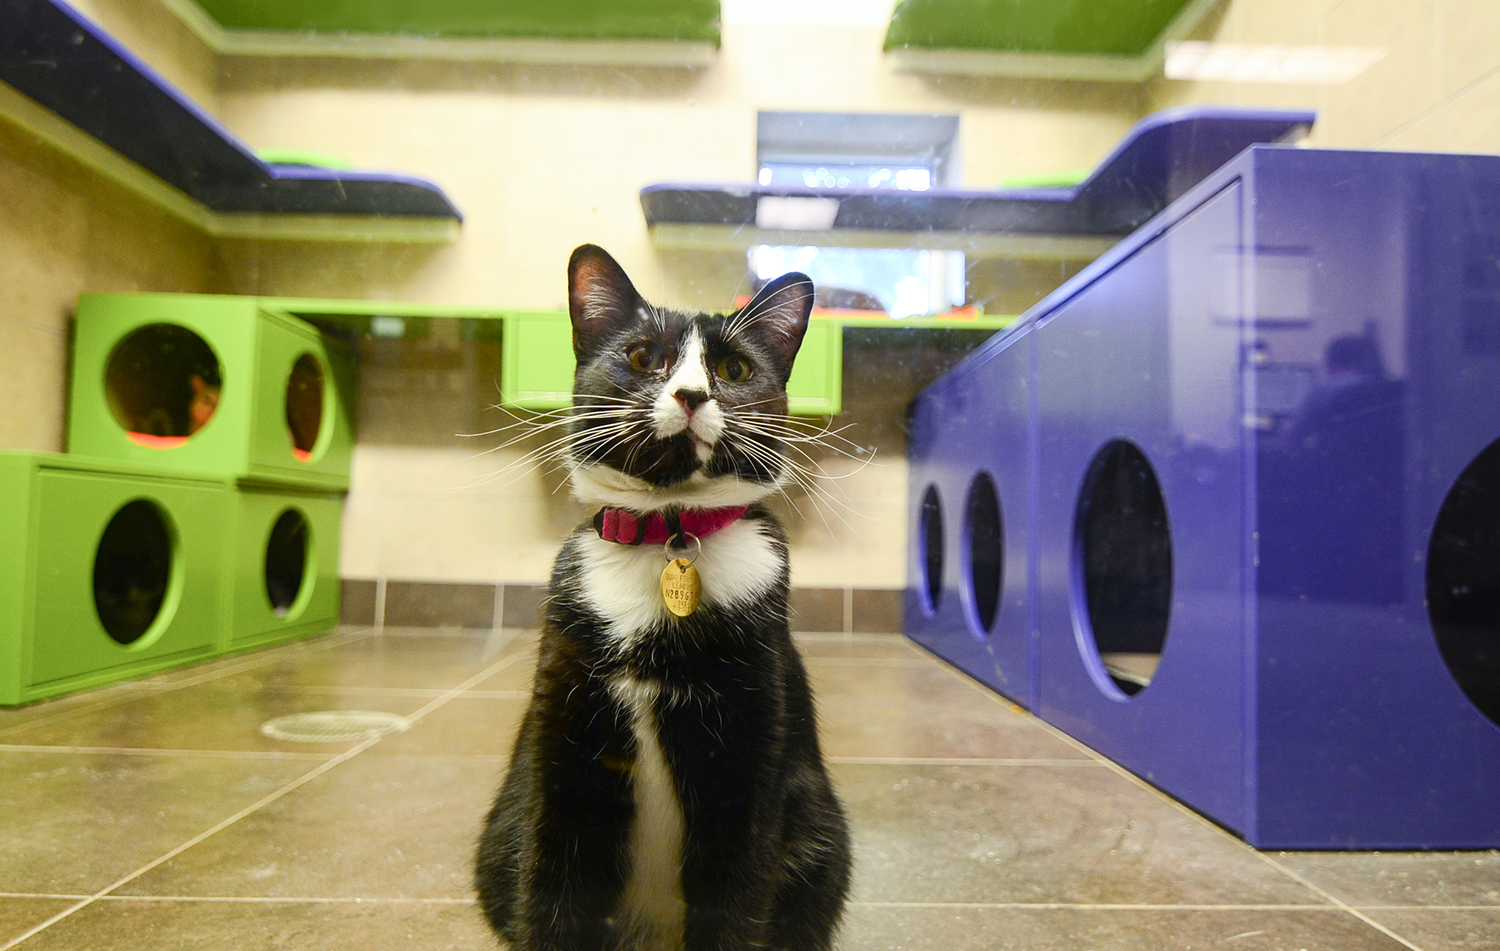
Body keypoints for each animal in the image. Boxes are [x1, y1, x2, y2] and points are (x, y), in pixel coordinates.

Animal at [480, 244, 858, 948]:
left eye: (733, 368)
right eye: (641, 358)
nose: (690, 393)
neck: (667, 535)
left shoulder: (751, 748)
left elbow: (734, 895)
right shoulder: (562, 741)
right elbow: (555, 883)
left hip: (821, 835)